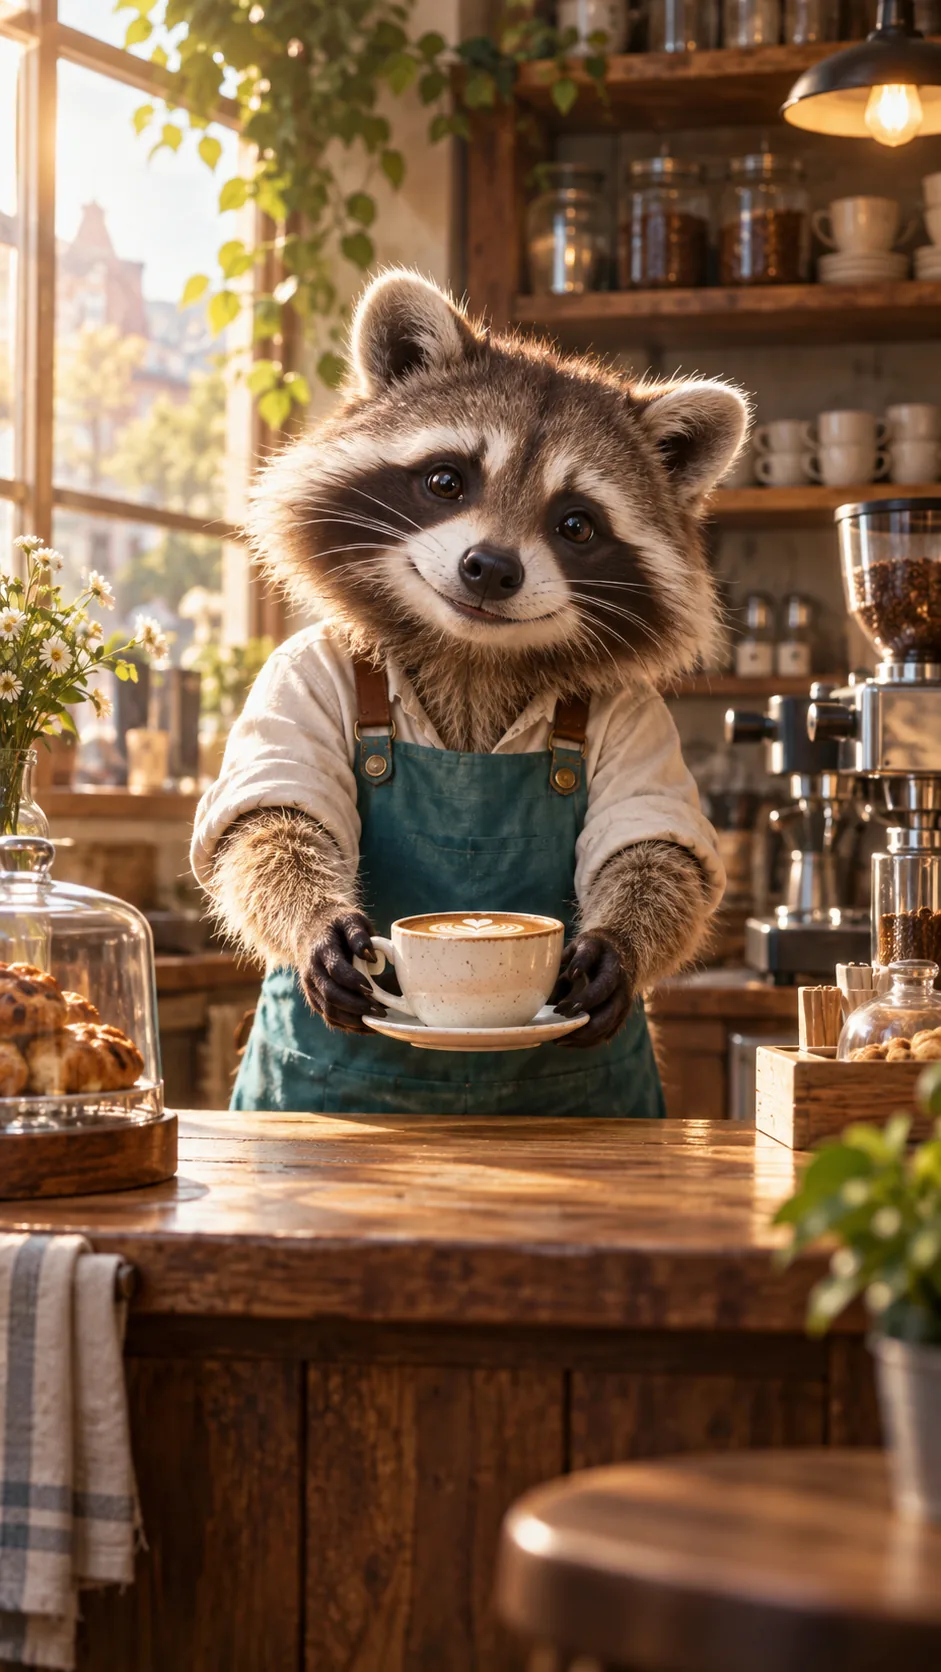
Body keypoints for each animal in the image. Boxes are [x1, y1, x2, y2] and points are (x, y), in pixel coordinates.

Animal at [199, 269, 748, 1053]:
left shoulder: (637, 710)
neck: (471, 652)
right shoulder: (299, 669)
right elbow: (269, 823)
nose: (490, 568)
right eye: (446, 482)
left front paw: (618, 946)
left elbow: (656, 851)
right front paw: (316, 921)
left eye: (576, 524)